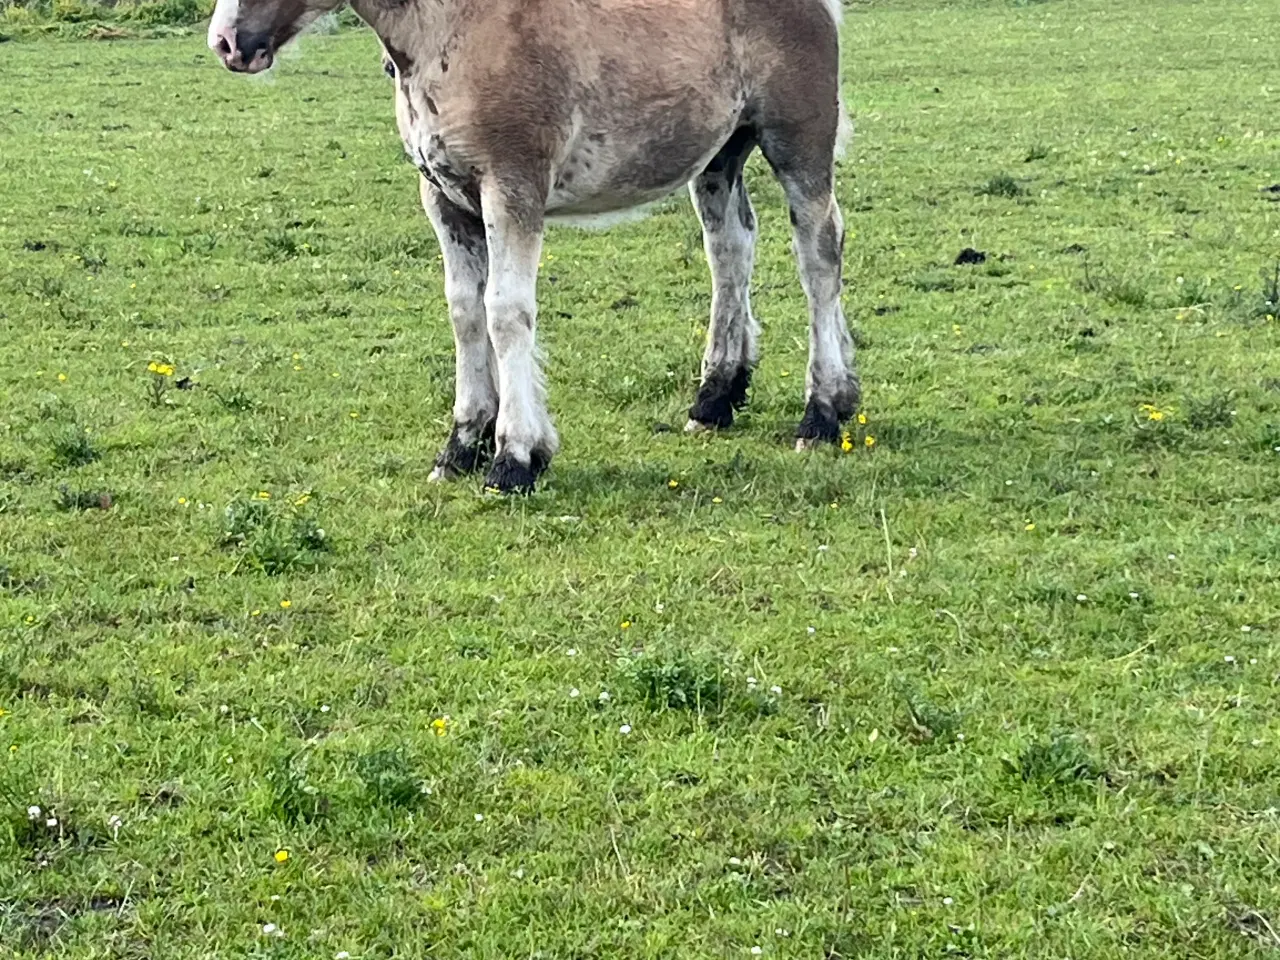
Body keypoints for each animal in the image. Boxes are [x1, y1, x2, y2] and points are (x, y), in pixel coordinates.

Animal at [207, 0, 860, 491]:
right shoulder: (443, 198)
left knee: (819, 253)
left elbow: (505, 312)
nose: (229, 43)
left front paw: (515, 458)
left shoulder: (511, 187)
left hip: (797, 139)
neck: (454, 28)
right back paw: (715, 400)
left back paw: (823, 412)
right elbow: (464, 313)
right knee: (731, 249)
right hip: (720, 154)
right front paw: (460, 446)